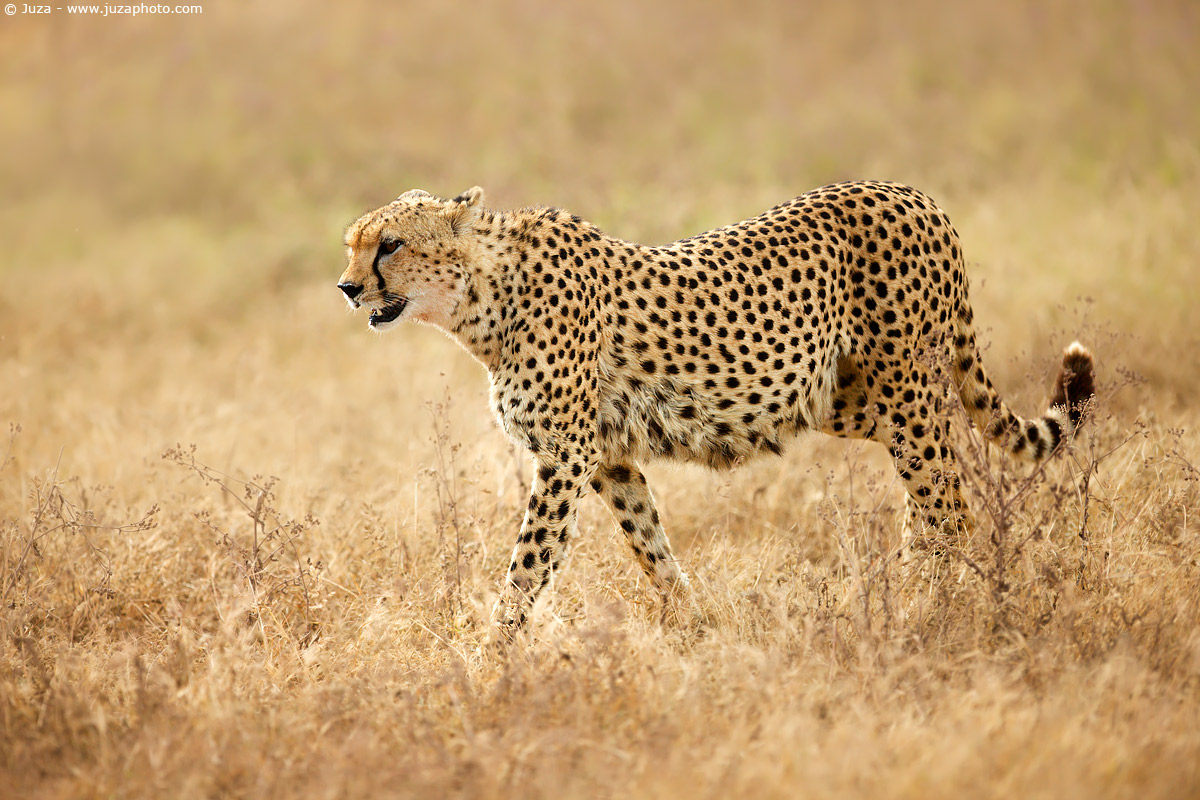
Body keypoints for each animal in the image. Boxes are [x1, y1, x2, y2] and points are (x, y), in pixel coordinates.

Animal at [337, 181, 1095, 634]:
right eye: (353, 244)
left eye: (390, 244)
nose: (346, 287)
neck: (481, 301)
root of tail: (915, 194)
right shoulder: (609, 459)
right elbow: (650, 546)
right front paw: (693, 626)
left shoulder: (564, 456)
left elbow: (528, 564)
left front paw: (491, 658)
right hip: (851, 400)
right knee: (931, 500)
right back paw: (912, 593)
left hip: (906, 394)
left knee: (951, 506)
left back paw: (934, 610)